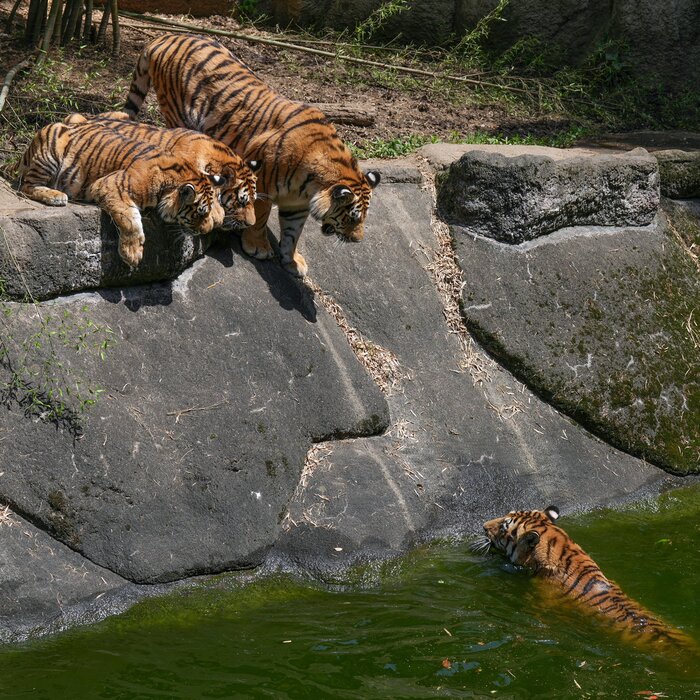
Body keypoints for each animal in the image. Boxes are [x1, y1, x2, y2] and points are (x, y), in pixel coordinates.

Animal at [18, 120, 225, 268]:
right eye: (199, 213)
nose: (207, 231)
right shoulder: (112, 185)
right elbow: (130, 220)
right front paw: (132, 254)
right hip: (49, 154)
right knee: (26, 187)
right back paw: (56, 196)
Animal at [122, 33, 381, 277]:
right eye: (353, 217)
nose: (358, 240)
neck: (309, 188)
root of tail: (163, 37)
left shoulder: (297, 206)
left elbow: (293, 234)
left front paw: (292, 261)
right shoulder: (264, 183)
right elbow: (260, 215)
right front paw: (257, 246)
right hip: (178, 113)